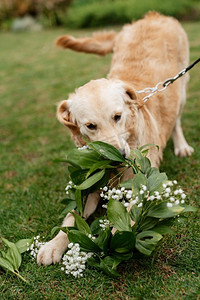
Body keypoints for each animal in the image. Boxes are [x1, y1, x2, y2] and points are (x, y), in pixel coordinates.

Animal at [36, 11, 193, 264]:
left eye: (117, 116)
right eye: (91, 126)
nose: (118, 156)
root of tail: (153, 15)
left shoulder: (142, 187)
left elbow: (127, 219)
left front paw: (113, 241)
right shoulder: (90, 187)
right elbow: (72, 216)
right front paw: (54, 244)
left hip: (180, 87)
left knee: (176, 119)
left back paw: (181, 145)